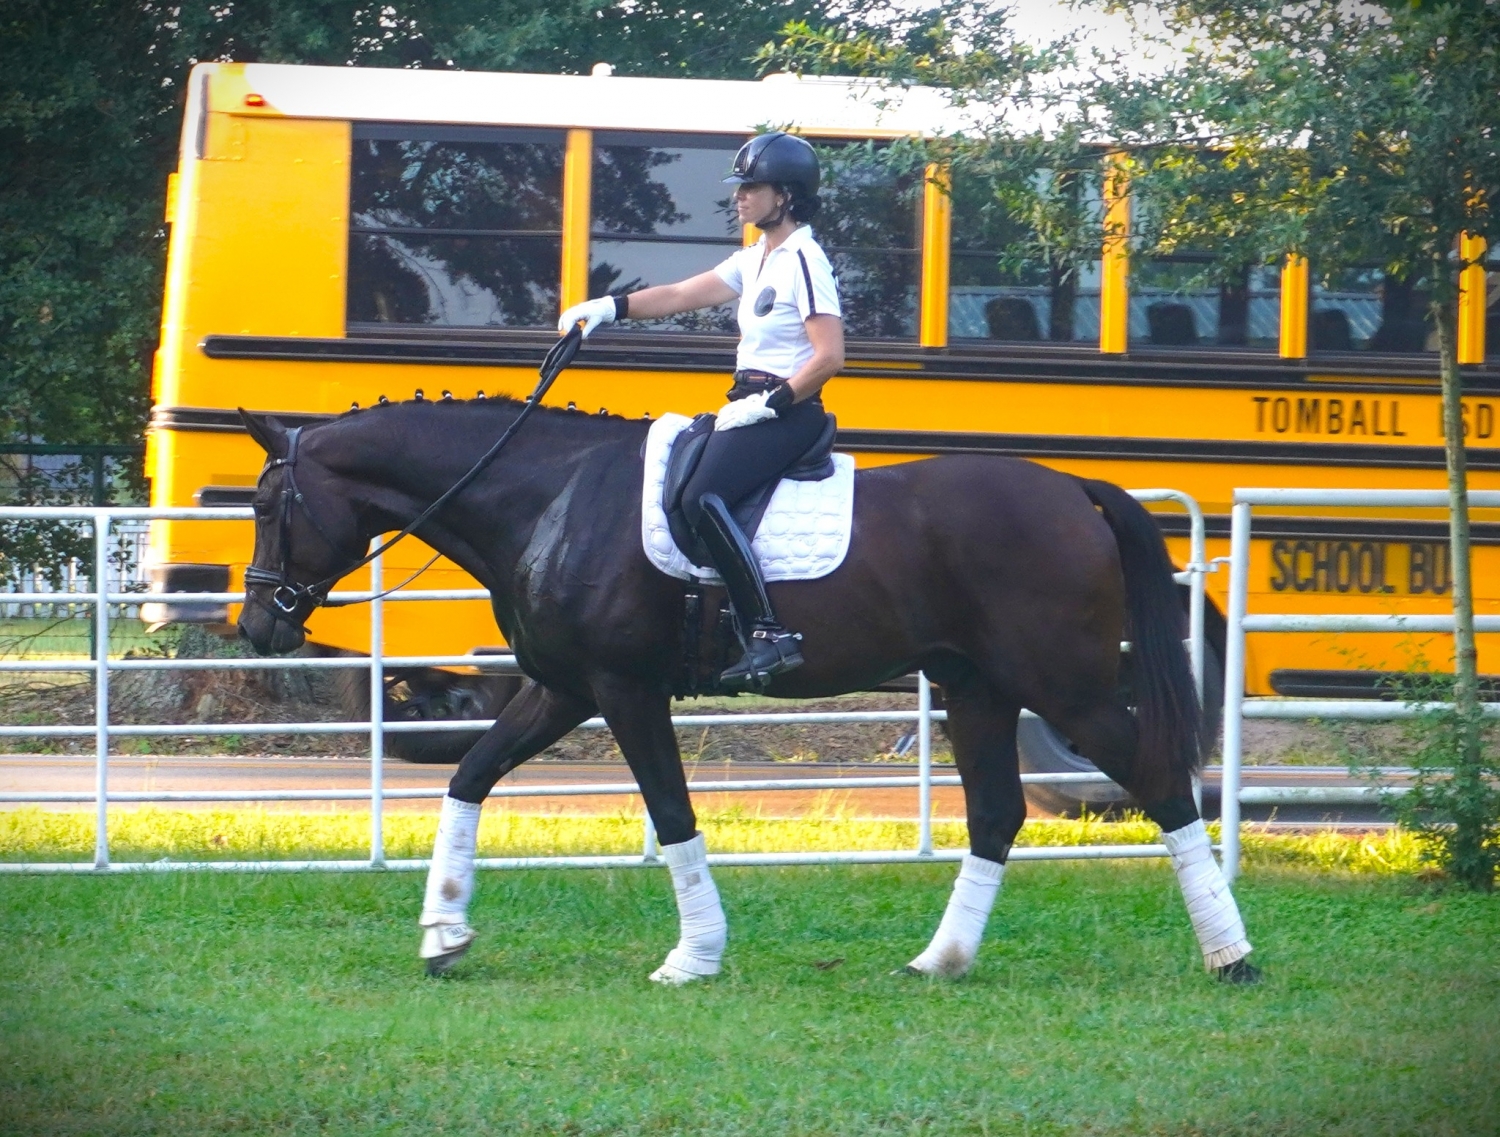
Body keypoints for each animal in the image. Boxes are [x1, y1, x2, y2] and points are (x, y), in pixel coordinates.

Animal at [236, 393, 1258, 985]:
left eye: (266, 503)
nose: (256, 627)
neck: (552, 496)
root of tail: (1073, 488)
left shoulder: (622, 689)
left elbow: (674, 812)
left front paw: (693, 956)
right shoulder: (560, 689)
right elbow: (469, 777)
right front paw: (443, 934)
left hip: (1065, 689)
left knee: (1154, 779)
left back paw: (1231, 955)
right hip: (977, 689)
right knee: (997, 812)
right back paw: (942, 959)